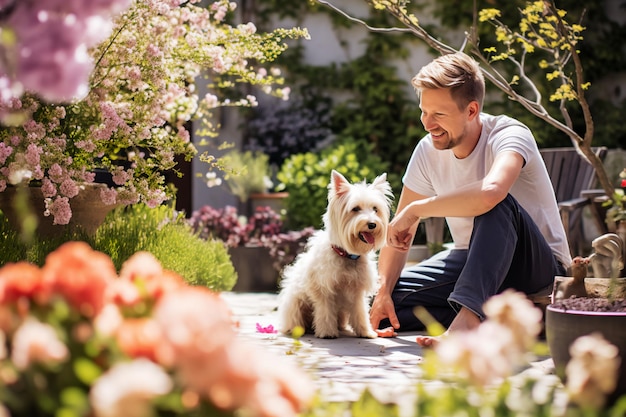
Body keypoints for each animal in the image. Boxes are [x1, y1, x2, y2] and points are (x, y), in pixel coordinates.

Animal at [278, 169, 390, 338]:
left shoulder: (357, 291)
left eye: (375, 209)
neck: (347, 256)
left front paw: (365, 331)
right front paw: (327, 332)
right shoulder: (324, 289)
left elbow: (360, 312)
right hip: (296, 303)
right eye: (355, 209)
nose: (372, 224)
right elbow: (325, 312)